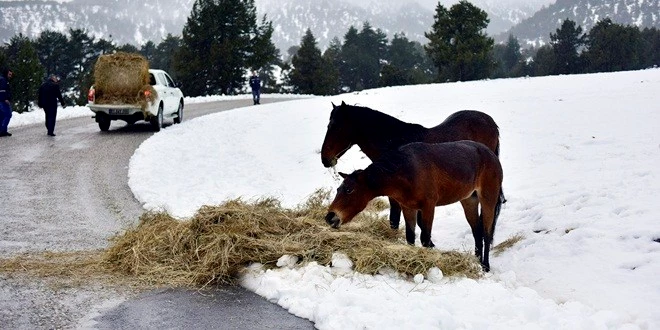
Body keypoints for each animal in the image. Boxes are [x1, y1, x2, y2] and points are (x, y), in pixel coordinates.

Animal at [326, 141, 506, 272]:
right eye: (338, 189)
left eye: (349, 190)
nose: (330, 217)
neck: (406, 172)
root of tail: (492, 155)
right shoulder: (408, 207)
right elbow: (411, 237)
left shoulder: (428, 207)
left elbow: (425, 239)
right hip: (469, 200)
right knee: (477, 232)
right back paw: (477, 262)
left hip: (488, 199)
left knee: (486, 233)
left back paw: (485, 266)